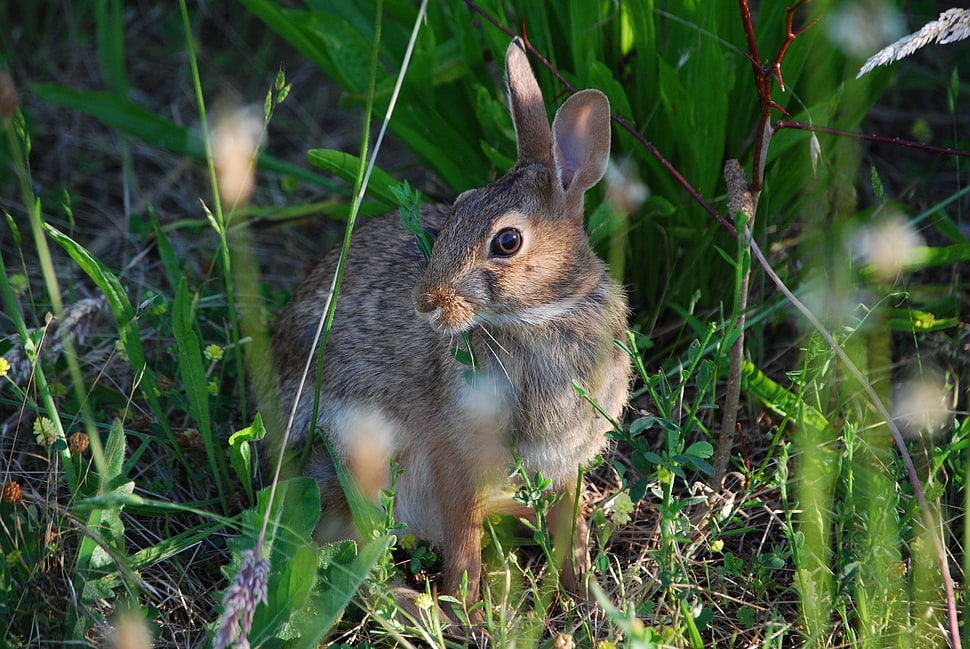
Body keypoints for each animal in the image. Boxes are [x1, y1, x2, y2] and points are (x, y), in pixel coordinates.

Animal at [264, 37, 631, 611]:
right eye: (457, 208)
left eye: (507, 241)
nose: (425, 303)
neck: (542, 316)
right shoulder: (454, 453)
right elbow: (463, 538)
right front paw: (467, 609)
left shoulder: (566, 459)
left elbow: (565, 518)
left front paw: (584, 586)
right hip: (360, 454)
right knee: (347, 548)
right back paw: (412, 603)